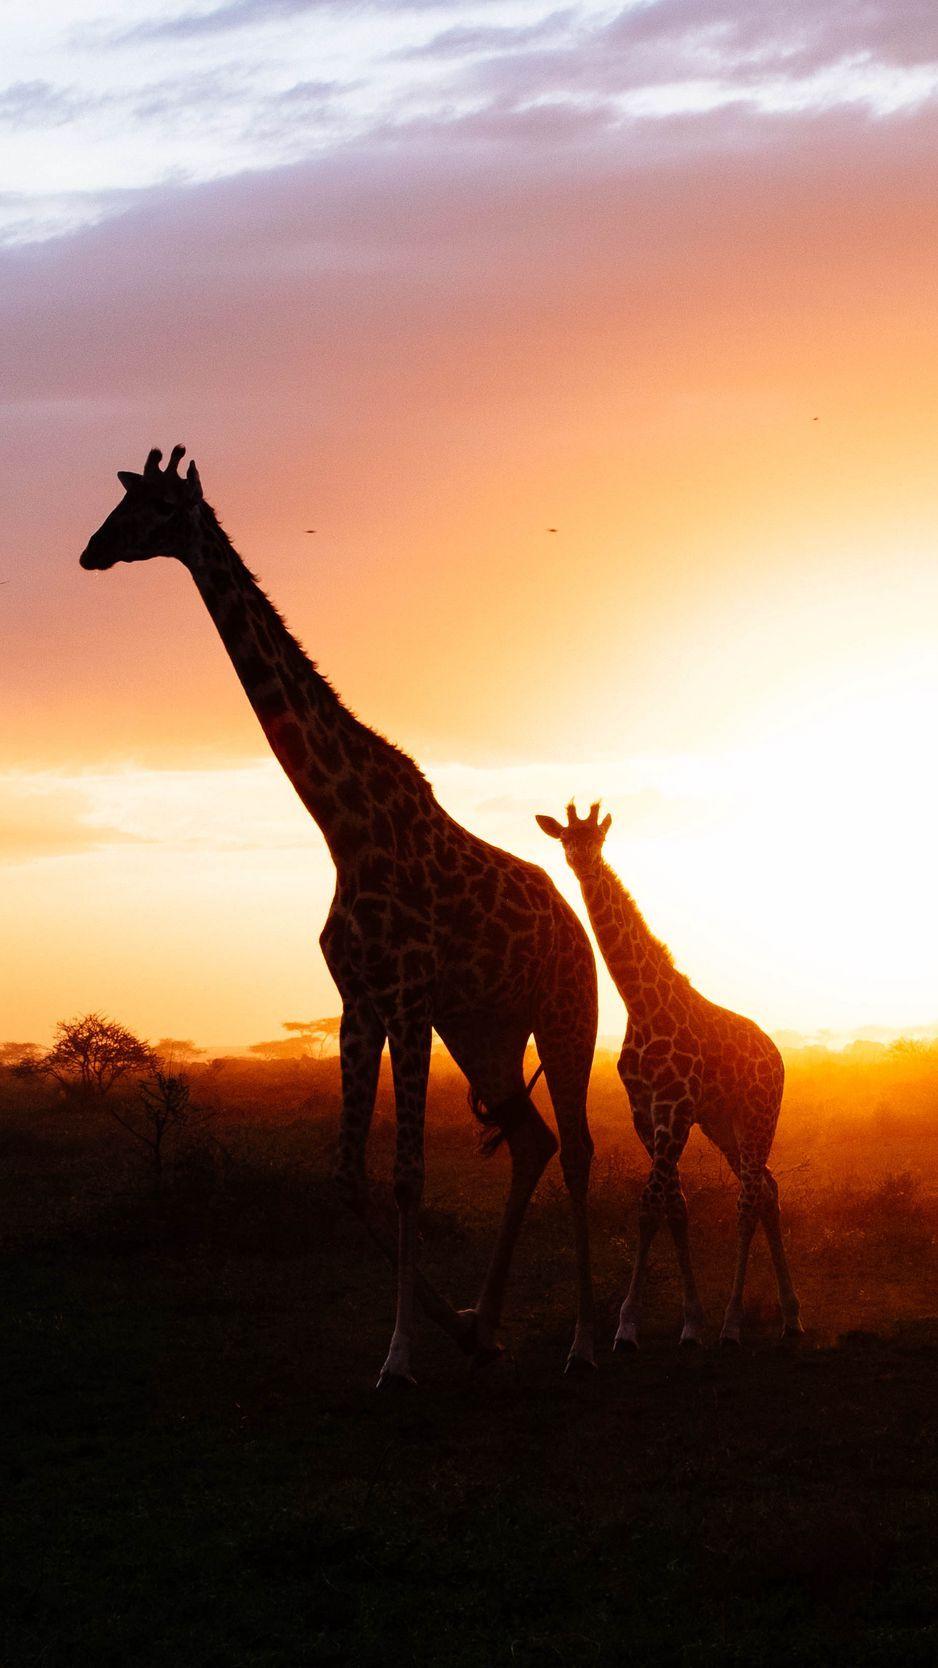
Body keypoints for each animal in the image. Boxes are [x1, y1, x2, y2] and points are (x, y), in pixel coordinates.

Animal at [79, 446, 599, 1386]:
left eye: (155, 510)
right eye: (122, 503)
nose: (90, 551)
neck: (342, 826)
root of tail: (575, 929)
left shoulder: (407, 1000)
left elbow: (407, 1175)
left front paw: (399, 1356)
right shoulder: (360, 1004)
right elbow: (350, 1175)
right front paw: (450, 1329)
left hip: (563, 1013)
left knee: (576, 1150)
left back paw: (584, 1340)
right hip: (486, 1031)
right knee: (534, 1142)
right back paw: (488, 1326)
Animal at [536, 802, 801, 1348]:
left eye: (597, 839)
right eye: (566, 840)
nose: (583, 862)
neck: (641, 1005)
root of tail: (777, 1056)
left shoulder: (676, 1108)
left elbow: (649, 1204)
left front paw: (627, 1325)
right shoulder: (646, 1111)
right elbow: (674, 1206)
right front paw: (690, 1321)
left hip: (759, 1116)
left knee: (749, 1199)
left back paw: (734, 1323)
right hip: (725, 1125)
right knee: (767, 1189)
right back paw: (789, 1316)